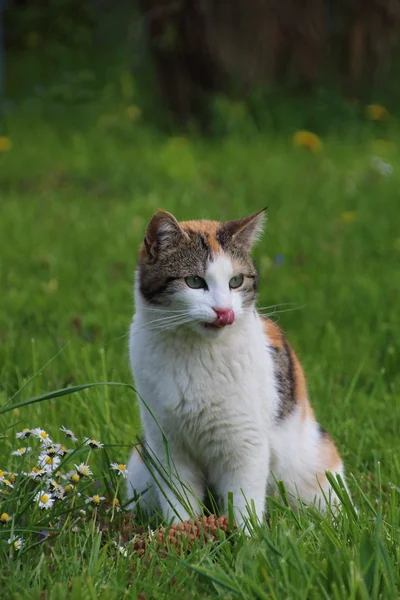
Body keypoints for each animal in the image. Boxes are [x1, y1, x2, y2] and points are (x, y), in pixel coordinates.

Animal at [126, 209, 348, 528]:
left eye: (236, 281)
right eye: (194, 281)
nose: (224, 312)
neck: (196, 353)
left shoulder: (246, 443)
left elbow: (245, 501)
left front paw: (247, 537)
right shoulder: (167, 446)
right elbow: (179, 500)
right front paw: (181, 532)